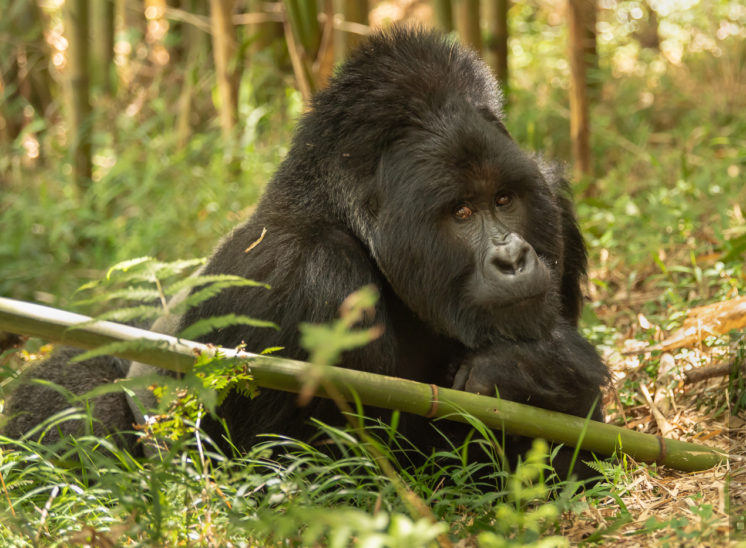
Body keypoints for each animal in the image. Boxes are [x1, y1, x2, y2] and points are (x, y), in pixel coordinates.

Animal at [2, 27, 604, 478]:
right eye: (461, 213)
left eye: (503, 200)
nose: (512, 260)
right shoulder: (302, 272)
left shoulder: (554, 203)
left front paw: (539, 372)